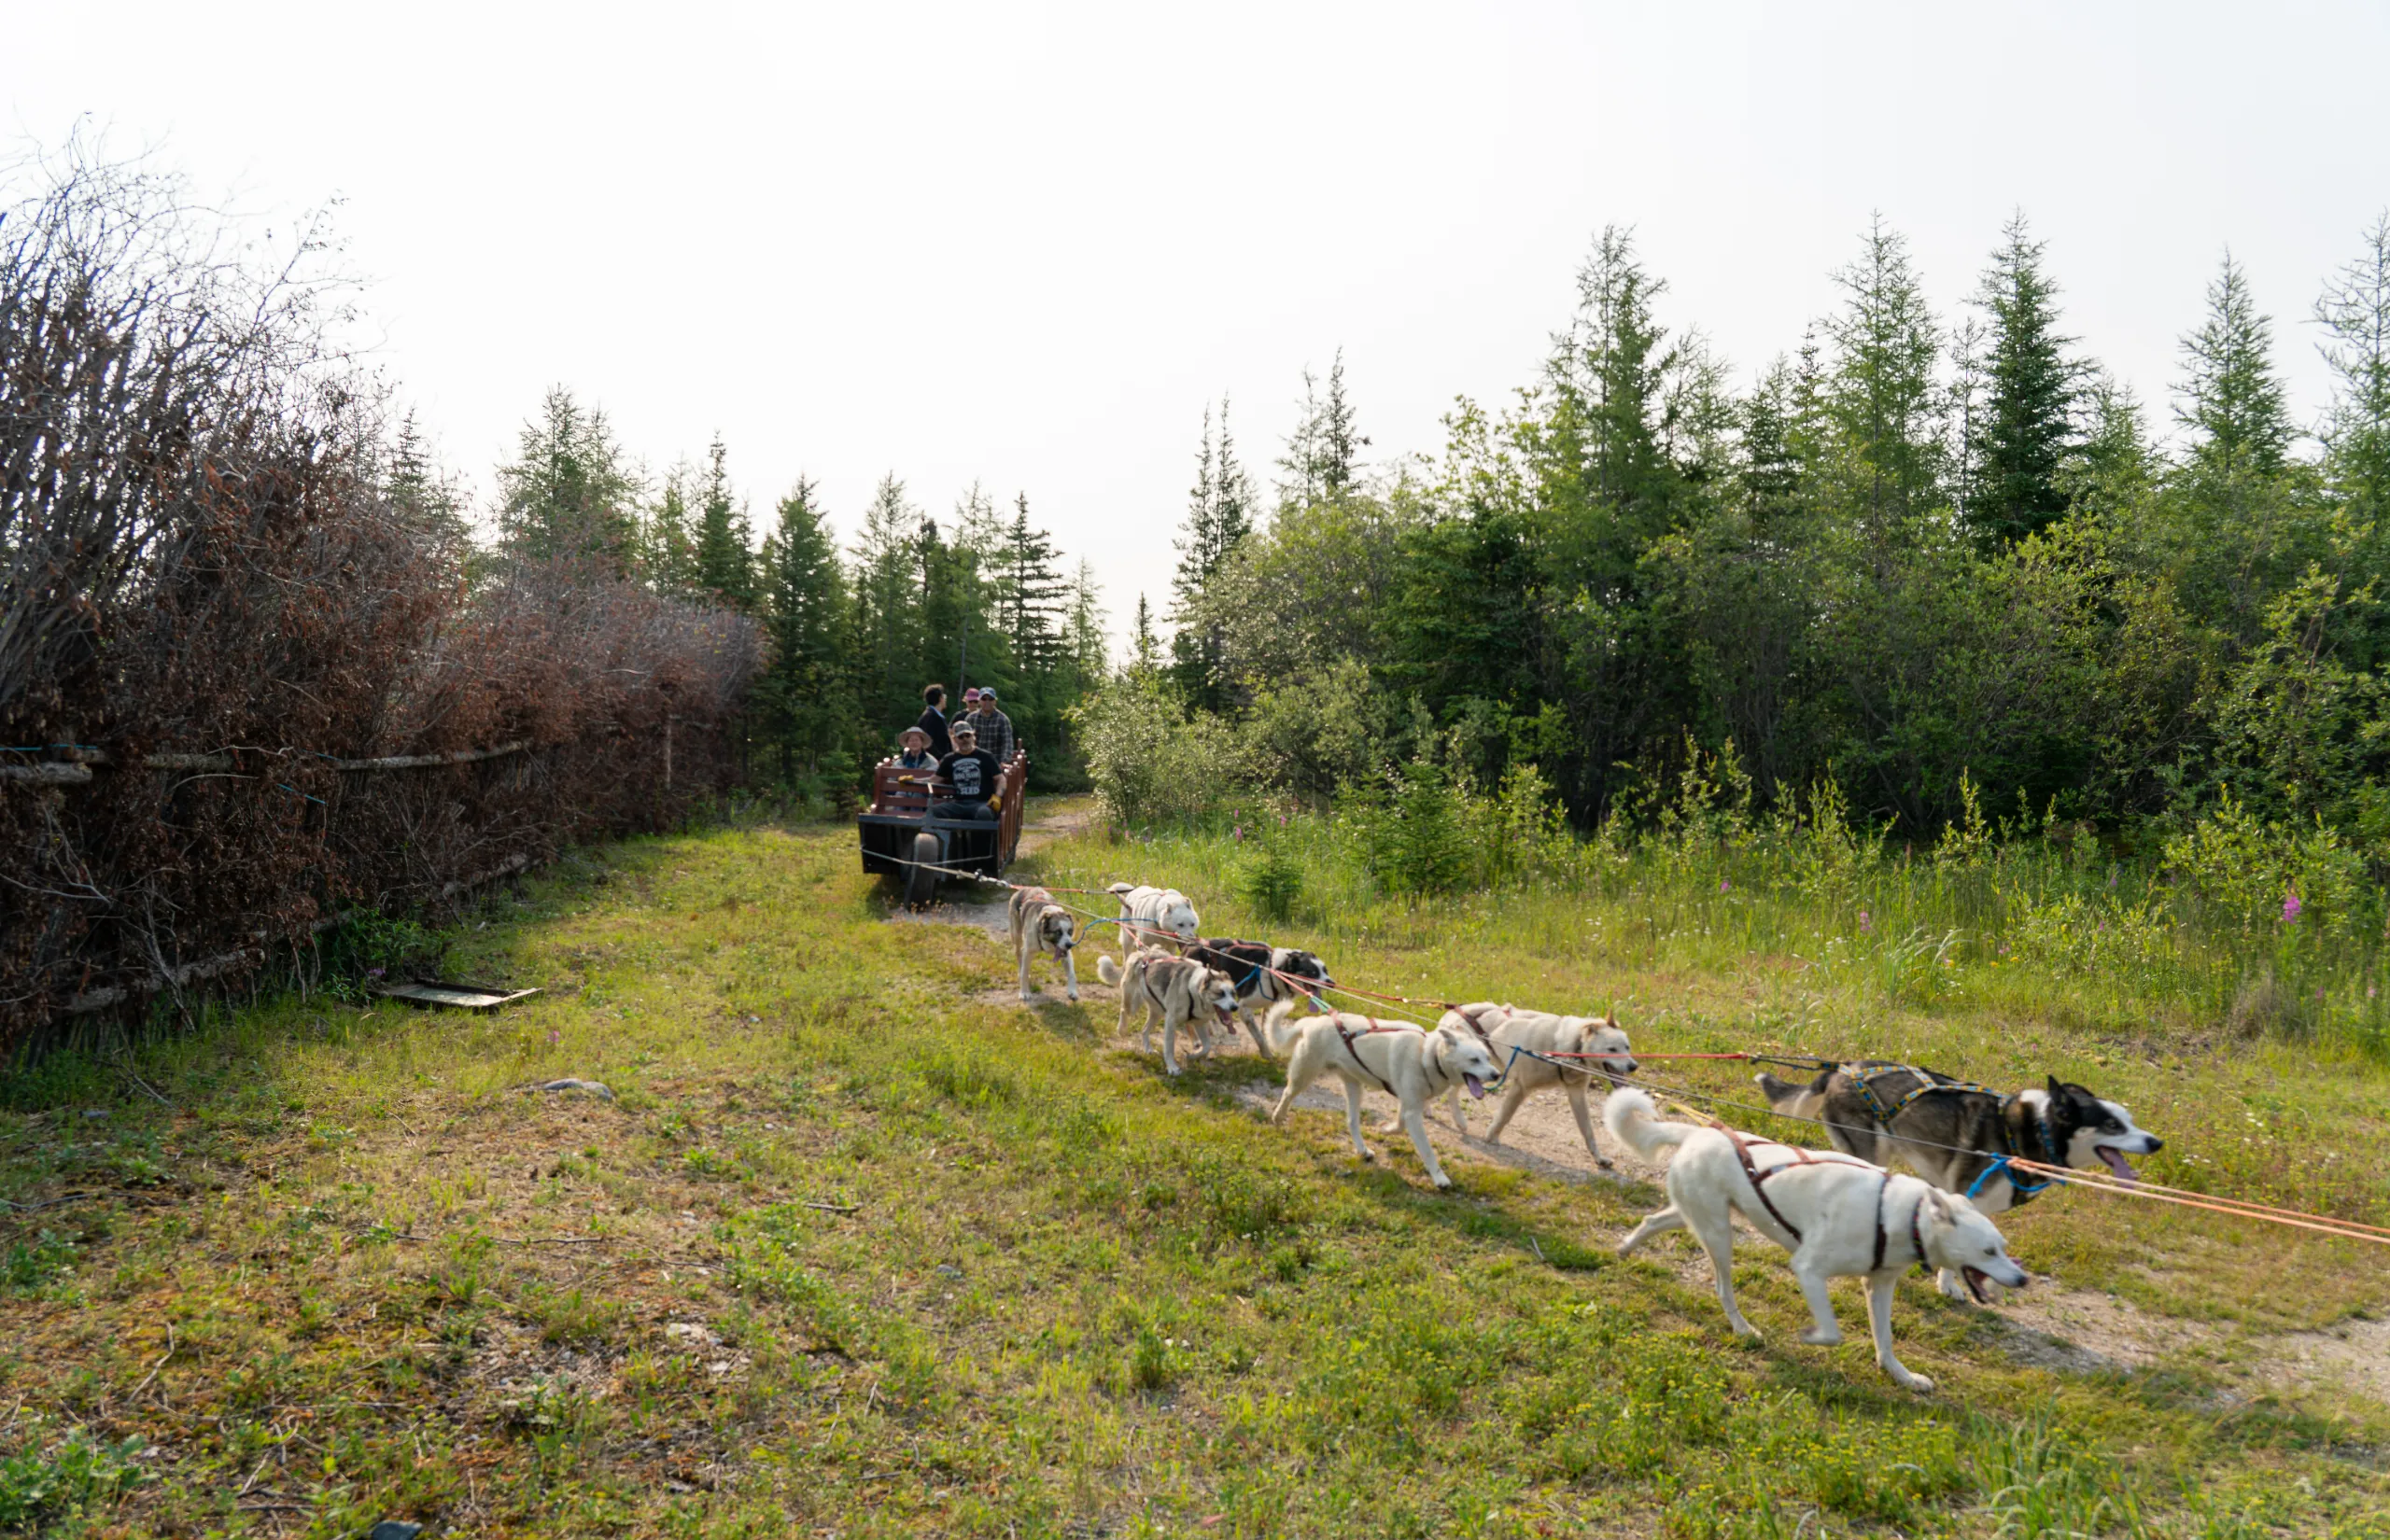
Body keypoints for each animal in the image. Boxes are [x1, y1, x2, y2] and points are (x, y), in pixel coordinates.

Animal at [1004, 883, 1080, 1002]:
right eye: (1058, 932)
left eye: (1070, 931)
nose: (1070, 945)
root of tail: (1023, 889)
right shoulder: (1028, 951)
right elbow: (1024, 973)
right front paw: (1024, 992)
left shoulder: (1066, 953)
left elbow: (1072, 973)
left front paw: (1072, 991)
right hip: (1016, 935)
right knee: (1018, 953)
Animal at [1094, 940, 1243, 1074]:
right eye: (1220, 993)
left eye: (1233, 993)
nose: (1235, 1007)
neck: (1193, 990)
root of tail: (1141, 954)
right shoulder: (1171, 1021)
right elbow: (1169, 1047)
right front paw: (1172, 1067)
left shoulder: (1199, 1023)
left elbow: (1206, 1046)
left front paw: (1192, 1056)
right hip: (1133, 1004)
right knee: (1124, 1010)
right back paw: (1121, 1030)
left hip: (1157, 1012)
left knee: (1144, 1030)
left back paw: (1148, 1048)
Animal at [1261, 998, 1500, 1188]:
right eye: (1474, 1060)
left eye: (1487, 1057)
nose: (1497, 1074)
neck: (1427, 1055)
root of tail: (1313, 1022)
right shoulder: (1413, 1111)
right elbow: (1427, 1150)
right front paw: (1440, 1178)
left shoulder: (1410, 1105)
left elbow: (1400, 1124)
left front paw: (1386, 1129)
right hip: (1304, 1075)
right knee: (1287, 1093)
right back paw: (1278, 1117)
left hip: (1355, 1087)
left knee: (1352, 1121)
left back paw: (1362, 1150)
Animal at [1434, 1002, 1644, 1160]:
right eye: (1612, 1049)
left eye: (1627, 1047)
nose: (1634, 1066)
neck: (1568, 1048)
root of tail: (1454, 1012)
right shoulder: (1521, 1087)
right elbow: (1504, 1116)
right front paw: (1492, 1136)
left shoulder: (1577, 1094)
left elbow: (1588, 1131)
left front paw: (1598, 1158)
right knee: (1449, 1091)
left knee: (1452, 1091)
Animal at [1606, 1079, 2017, 1393]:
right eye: (1988, 1251)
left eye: (2003, 1248)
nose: (2022, 1279)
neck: (1898, 1214)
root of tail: (1701, 1131)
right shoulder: (1808, 1269)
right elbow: (1832, 1332)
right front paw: (1812, 1337)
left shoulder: (1879, 1287)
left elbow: (1884, 1342)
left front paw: (1902, 1376)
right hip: (1719, 1235)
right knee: (1723, 1288)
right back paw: (1743, 1328)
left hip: (1696, 1215)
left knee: (1651, 1220)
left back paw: (1624, 1250)